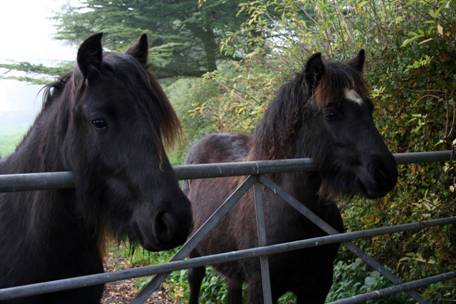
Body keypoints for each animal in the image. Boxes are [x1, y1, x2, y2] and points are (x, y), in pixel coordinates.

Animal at [184, 51, 396, 302]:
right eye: (331, 113)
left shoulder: (318, 285)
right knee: (195, 280)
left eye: (369, 108)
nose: (384, 172)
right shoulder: (261, 289)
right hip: (195, 255)